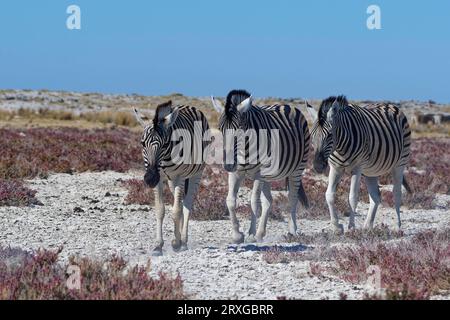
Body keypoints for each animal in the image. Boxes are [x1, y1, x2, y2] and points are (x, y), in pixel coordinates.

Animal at [134, 101, 211, 256]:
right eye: (142, 143)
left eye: (164, 144)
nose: (150, 178)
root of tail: (189, 106)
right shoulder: (160, 178)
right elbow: (160, 210)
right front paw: (158, 245)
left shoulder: (180, 176)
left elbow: (176, 211)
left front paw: (176, 243)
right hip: (171, 181)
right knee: (180, 203)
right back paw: (179, 237)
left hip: (196, 174)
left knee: (186, 205)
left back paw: (183, 241)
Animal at [210, 90, 310, 242]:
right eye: (220, 129)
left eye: (240, 129)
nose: (228, 165)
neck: (244, 149)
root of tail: (286, 105)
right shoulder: (236, 173)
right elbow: (230, 200)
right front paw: (237, 234)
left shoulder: (259, 173)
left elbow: (254, 201)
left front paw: (250, 234)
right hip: (268, 175)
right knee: (268, 200)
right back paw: (260, 233)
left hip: (297, 169)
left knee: (292, 197)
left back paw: (292, 231)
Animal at [306, 95, 412, 232]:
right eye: (312, 136)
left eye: (329, 135)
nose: (318, 166)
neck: (340, 147)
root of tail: (390, 105)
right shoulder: (335, 168)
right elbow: (329, 195)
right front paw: (337, 226)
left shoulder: (357, 168)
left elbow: (353, 197)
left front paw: (351, 227)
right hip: (371, 170)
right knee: (376, 196)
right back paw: (368, 226)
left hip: (400, 163)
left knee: (397, 193)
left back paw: (397, 226)